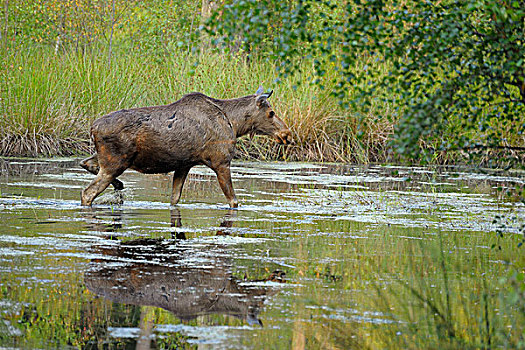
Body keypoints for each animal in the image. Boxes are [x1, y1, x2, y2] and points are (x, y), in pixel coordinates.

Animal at [80, 87, 290, 208]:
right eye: (271, 112)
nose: (286, 133)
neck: (235, 124)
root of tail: (92, 127)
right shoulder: (221, 161)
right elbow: (233, 201)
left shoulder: (184, 165)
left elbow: (174, 199)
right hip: (115, 162)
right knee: (87, 193)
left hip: (105, 158)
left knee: (85, 163)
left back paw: (119, 185)